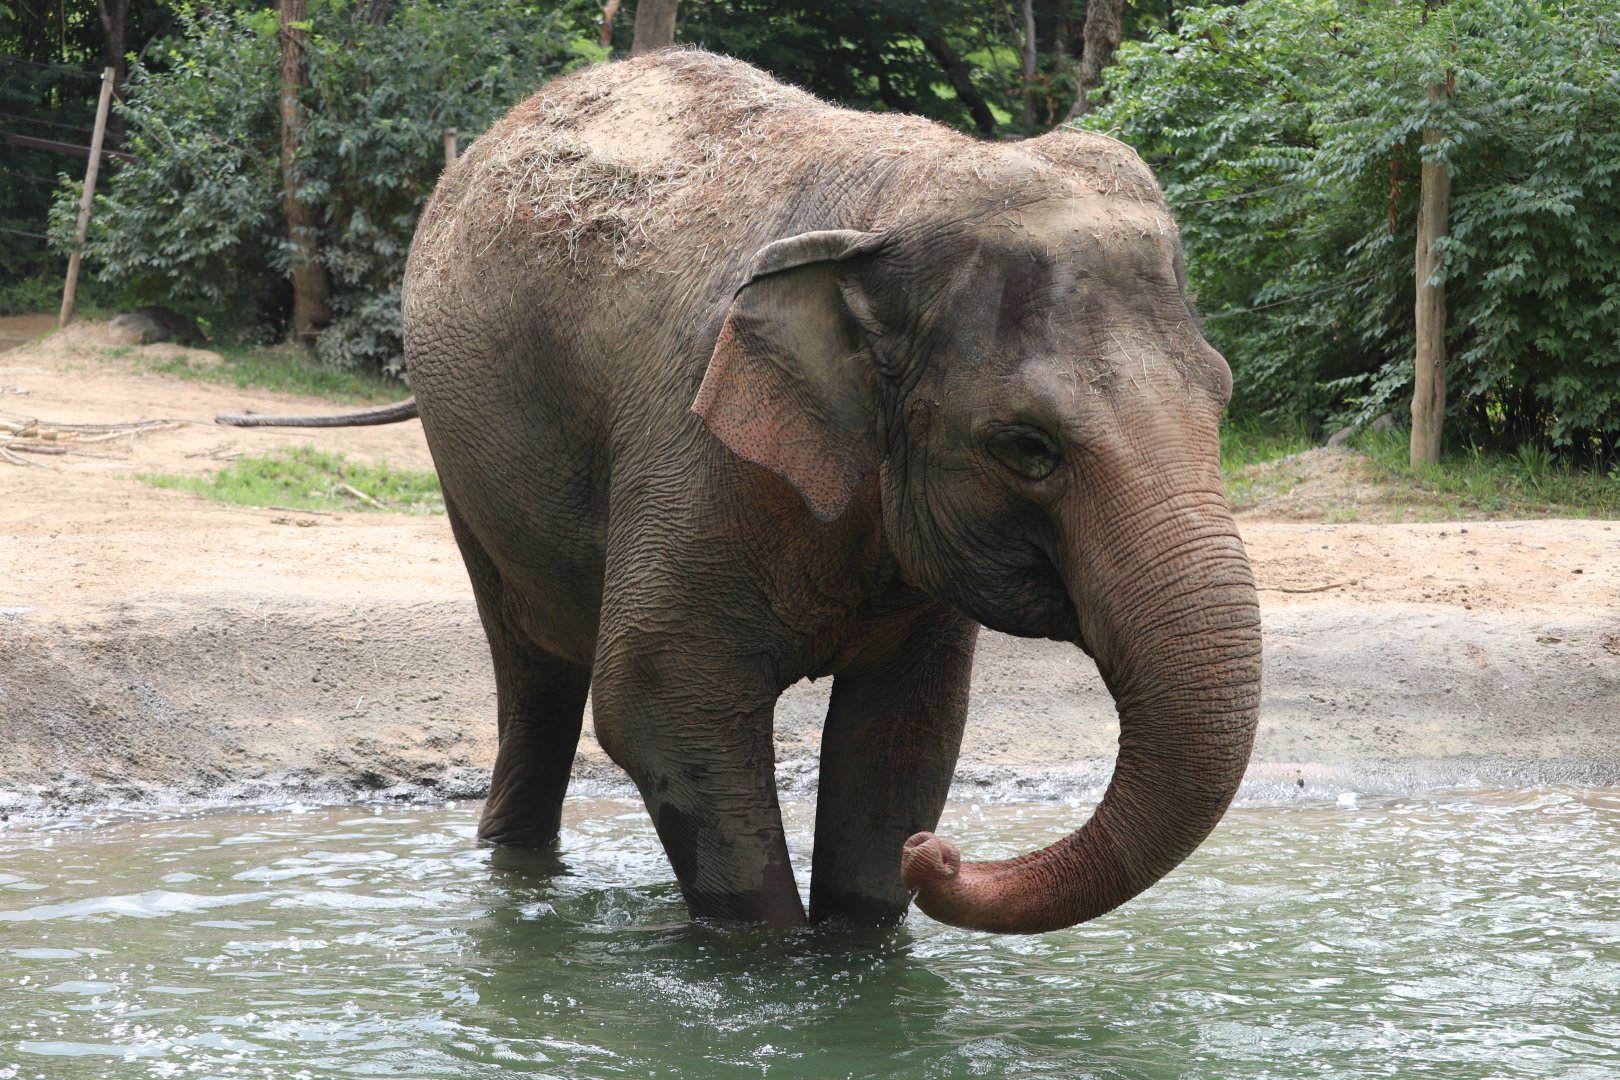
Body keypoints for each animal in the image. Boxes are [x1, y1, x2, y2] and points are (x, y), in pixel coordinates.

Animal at [220, 50, 1262, 934]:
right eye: (1027, 446)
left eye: (1223, 396)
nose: (941, 854)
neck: (893, 203)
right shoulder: (692, 442)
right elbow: (658, 701)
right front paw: (772, 963)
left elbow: (904, 733)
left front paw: (865, 942)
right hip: (462, 455)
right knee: (533, 667)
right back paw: (515, 870)